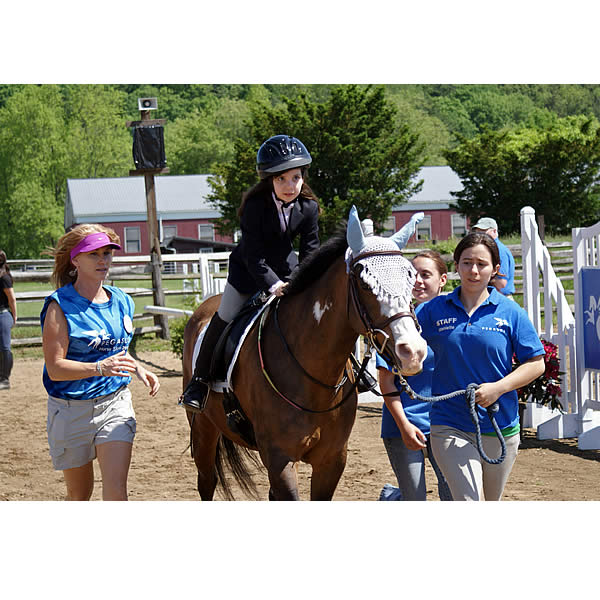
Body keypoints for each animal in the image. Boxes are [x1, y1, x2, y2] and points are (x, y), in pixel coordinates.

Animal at [182, 209, 426, 500]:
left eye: (411, 279)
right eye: (365, 284)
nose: (413, 352)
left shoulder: (332, 460)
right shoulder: (280, 459)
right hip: (203, 428)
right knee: (207, 480)